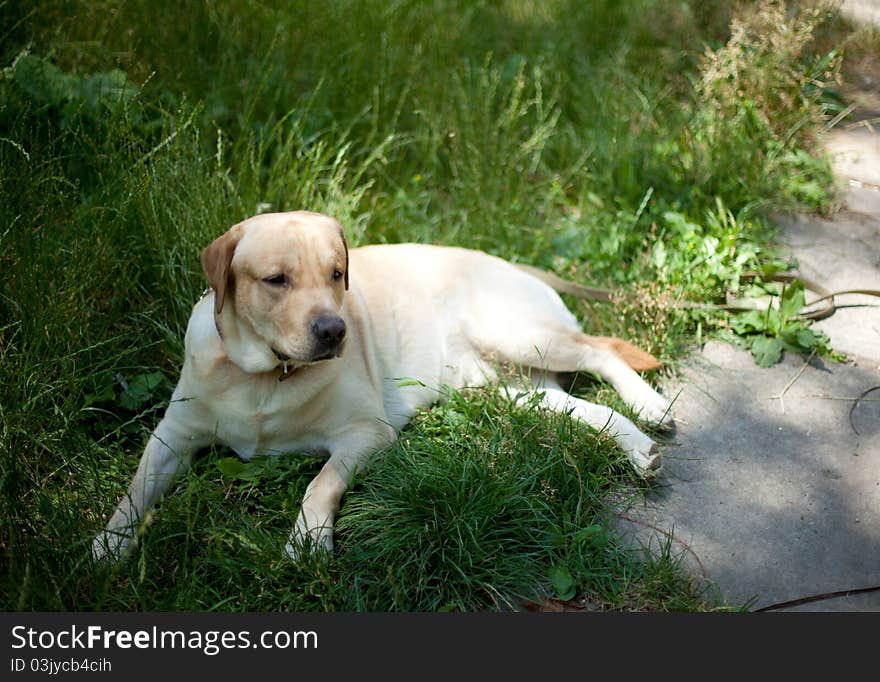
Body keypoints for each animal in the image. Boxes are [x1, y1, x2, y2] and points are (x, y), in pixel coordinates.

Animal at [93, 211, 672, 556]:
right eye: (276, 280)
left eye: (336, 273)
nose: (334, 330)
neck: (265, 376)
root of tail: (514, 263)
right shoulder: (173, 436)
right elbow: (135, 490)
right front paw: (106, 546)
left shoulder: (366, 433)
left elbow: (321, 481)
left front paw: (308, 540)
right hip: (505, 390)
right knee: (579, 407)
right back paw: (637, 447)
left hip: (518, 334)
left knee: (599, 352)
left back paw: (649, 405)